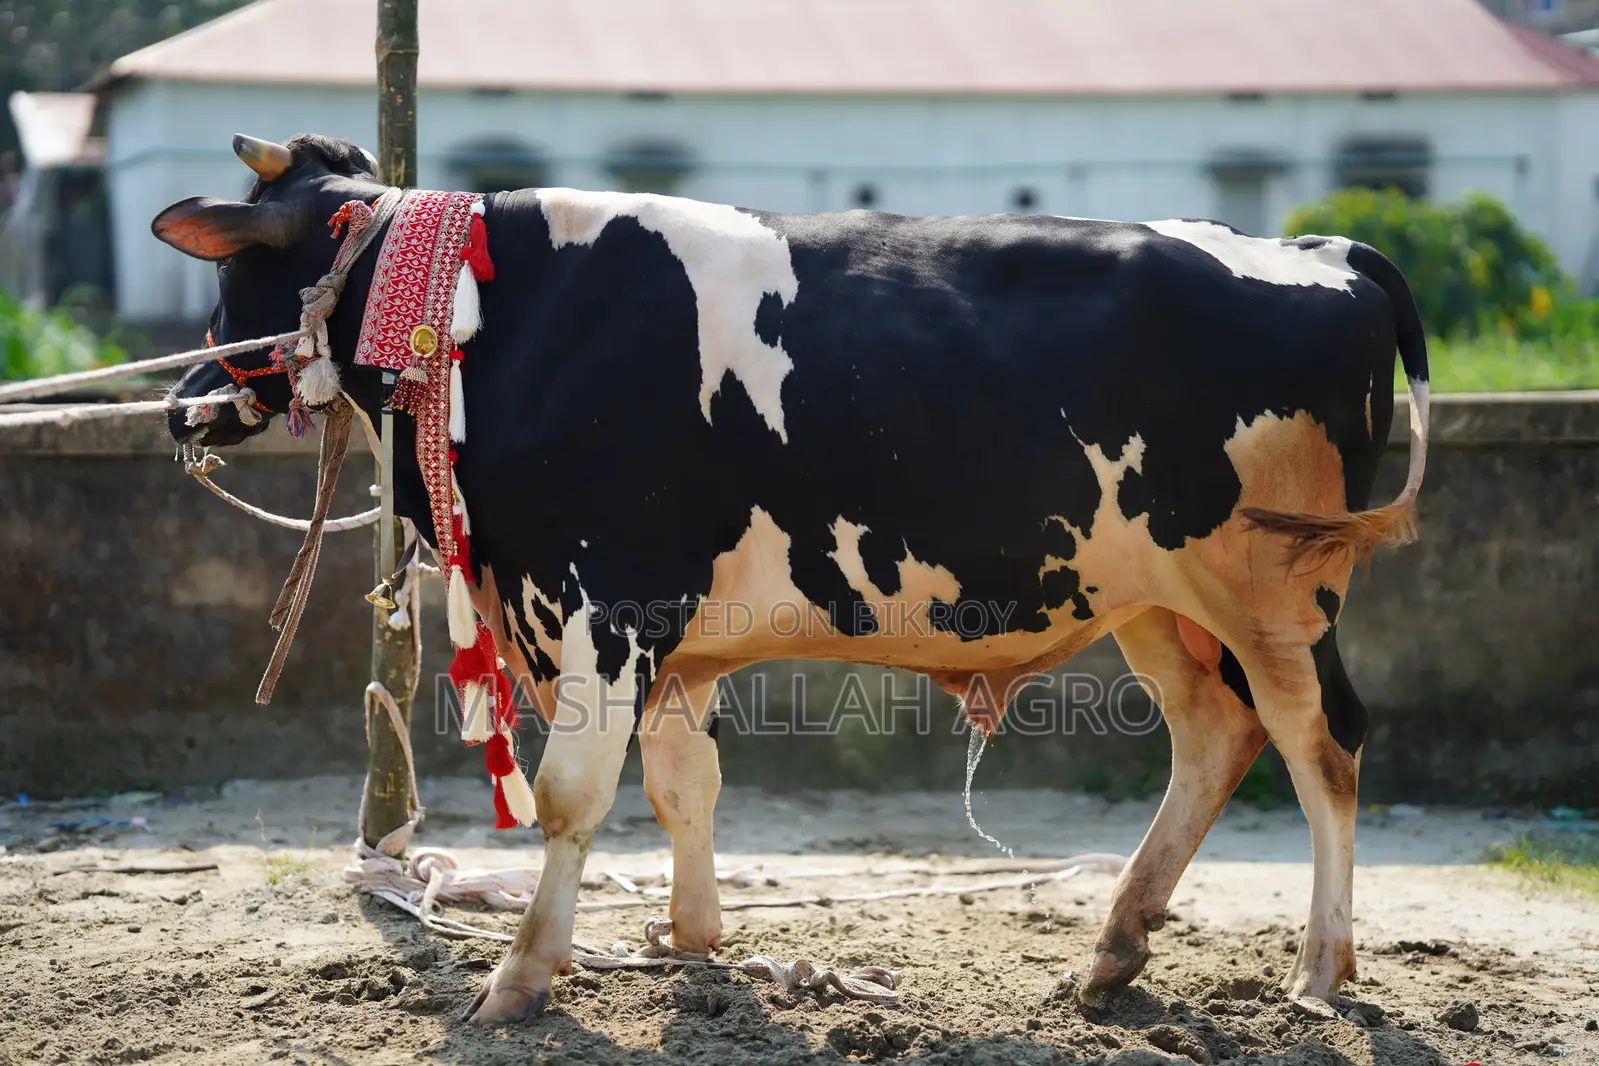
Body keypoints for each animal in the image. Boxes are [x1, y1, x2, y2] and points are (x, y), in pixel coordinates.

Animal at [156, 133, 1429, 1025]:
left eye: (228, 282)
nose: (181, 404)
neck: (495, 318)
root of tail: (1319, 251)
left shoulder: (605, 599)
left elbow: (572, 793)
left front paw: (520, 978)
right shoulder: (662, 632)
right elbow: (685, 785)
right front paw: (692, 939)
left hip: (1272, 592)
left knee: (1323, 742)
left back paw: (1321, 967)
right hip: (1157, 599)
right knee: (1216, 734)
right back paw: (1117, 946)